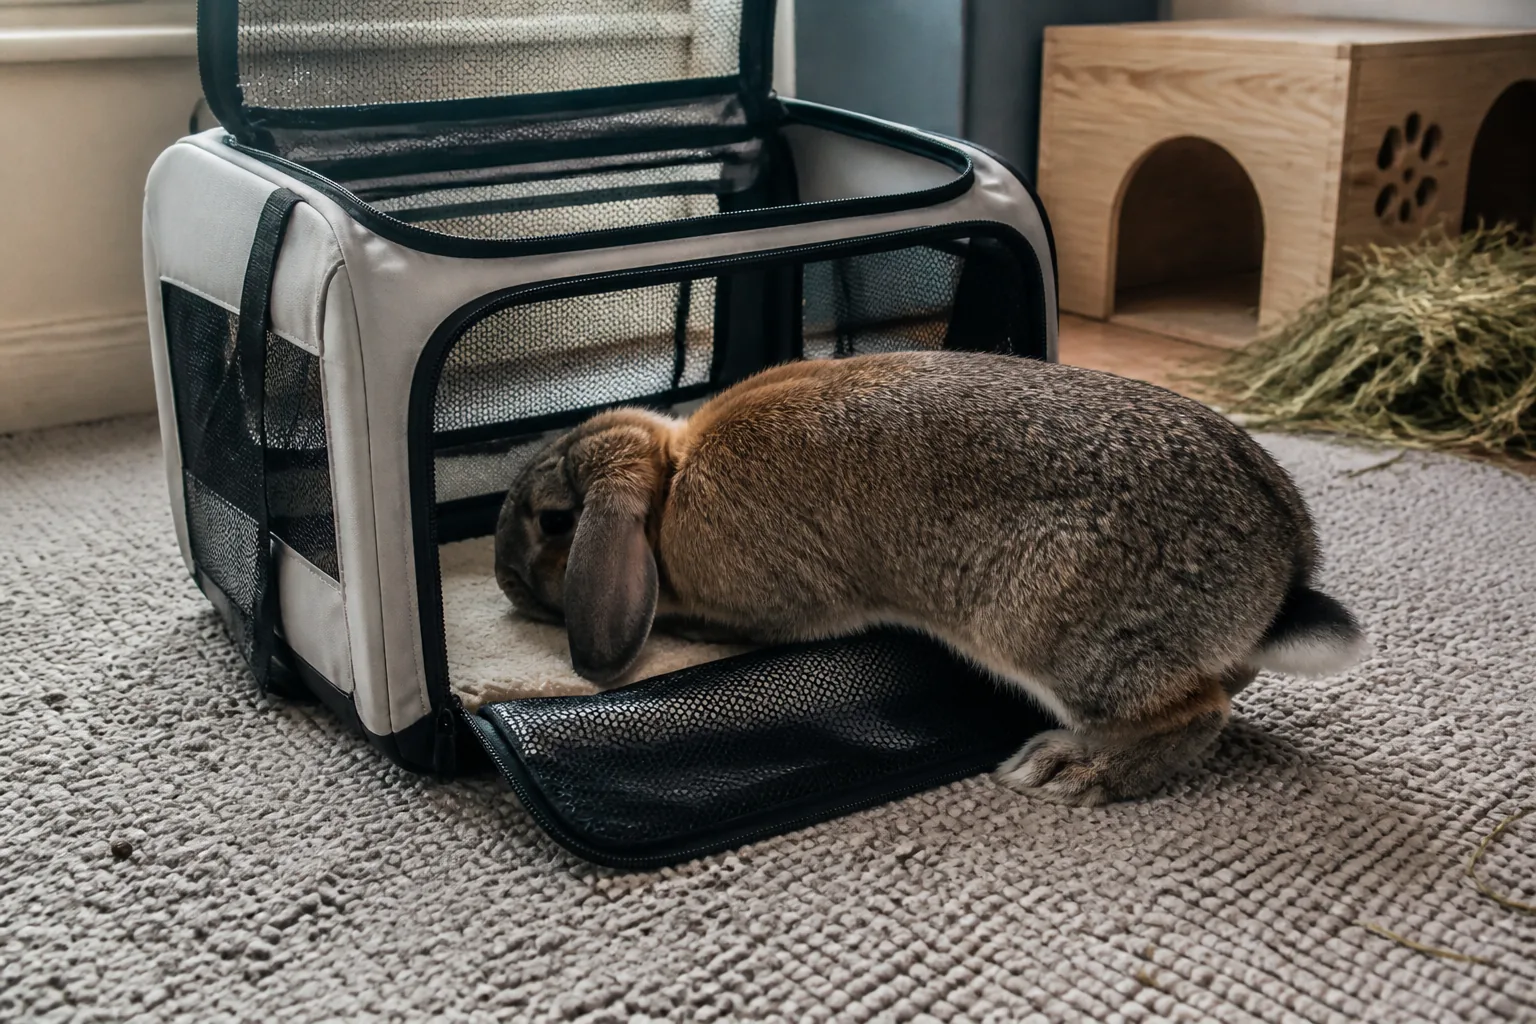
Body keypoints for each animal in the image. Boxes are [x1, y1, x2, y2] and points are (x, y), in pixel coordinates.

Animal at [493, 350, 1366, 806]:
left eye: (554, 521)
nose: (500, 580)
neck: (670, 482)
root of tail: (1281, 578)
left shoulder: (779, 602)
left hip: (1053, 632)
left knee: (1195, 712)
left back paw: (1070, 771)